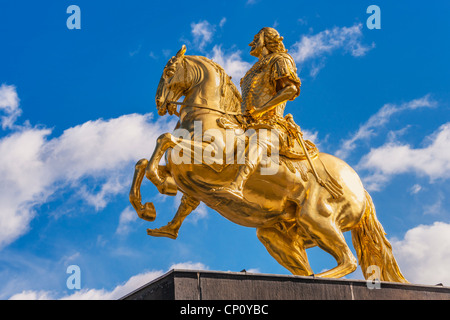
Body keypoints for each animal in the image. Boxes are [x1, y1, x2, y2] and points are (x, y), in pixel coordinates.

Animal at [129, 45, 408, 282]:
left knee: (347, 260)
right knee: (309, 264)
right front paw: (147, 210)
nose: (159, 104)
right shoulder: (182, 171)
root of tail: (361, 189)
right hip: (278, 234)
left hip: (317, 219)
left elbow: (164, 138)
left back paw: (316, 279)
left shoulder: (214, 159)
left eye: (169, 71)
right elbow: (144, 163)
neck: (208, 118)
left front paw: (161, 186)